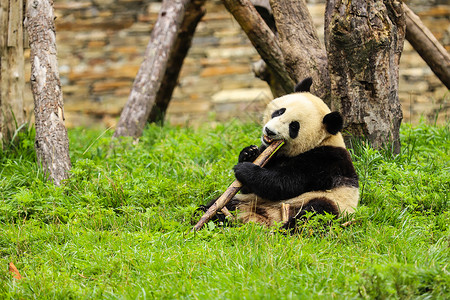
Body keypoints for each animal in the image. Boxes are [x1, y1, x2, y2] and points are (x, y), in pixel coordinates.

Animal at [200, 77, 358, 230]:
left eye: (294, 126)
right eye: (280, 111)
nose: (269, 131)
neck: (323, 140)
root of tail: (266, 219)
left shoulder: (324, 160)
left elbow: (284, 183)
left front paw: (245, 169)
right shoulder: (271, 153)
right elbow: (246, 187)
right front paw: (249, 153)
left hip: (330, 201)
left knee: (316, 212)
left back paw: (286, 229)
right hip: (248, 201)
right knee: (223, 203)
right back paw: (208, 214)